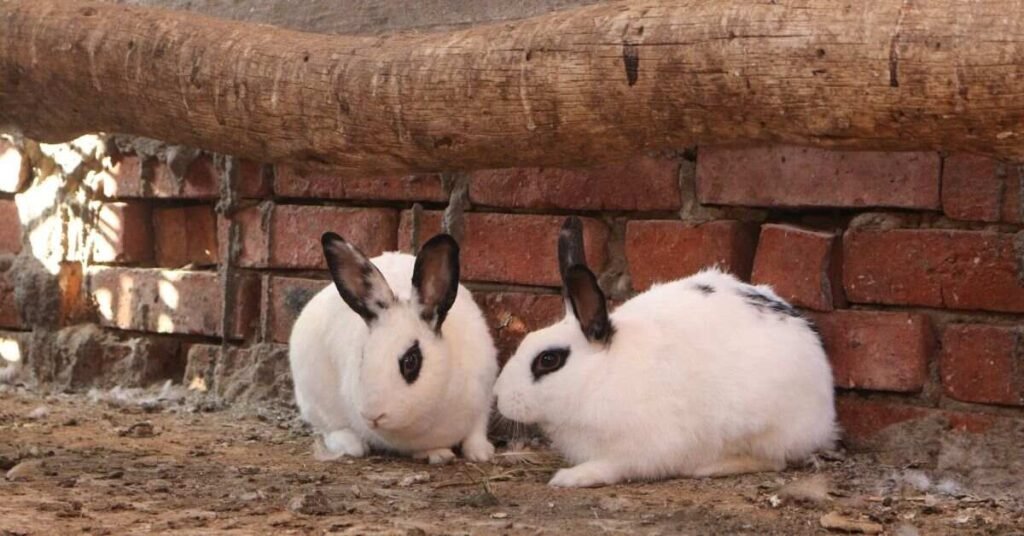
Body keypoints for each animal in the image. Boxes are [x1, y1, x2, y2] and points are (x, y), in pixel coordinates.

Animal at [289, 232, 498, 464]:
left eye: (411, 361)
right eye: (363, 356)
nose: (372, 415)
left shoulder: (484, 397)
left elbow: (477, 430)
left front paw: (481, 452)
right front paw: (438, 453)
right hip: (315, 399)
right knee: (330, 429)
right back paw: (353, 445)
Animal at [493, 217, 837, 487]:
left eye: (549, 360)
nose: (497, 397)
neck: (601, 375)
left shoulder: (642, 448)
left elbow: (612, 466)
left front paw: (570, 477)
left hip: (765, 428)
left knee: (775, 459)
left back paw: (711, 466)